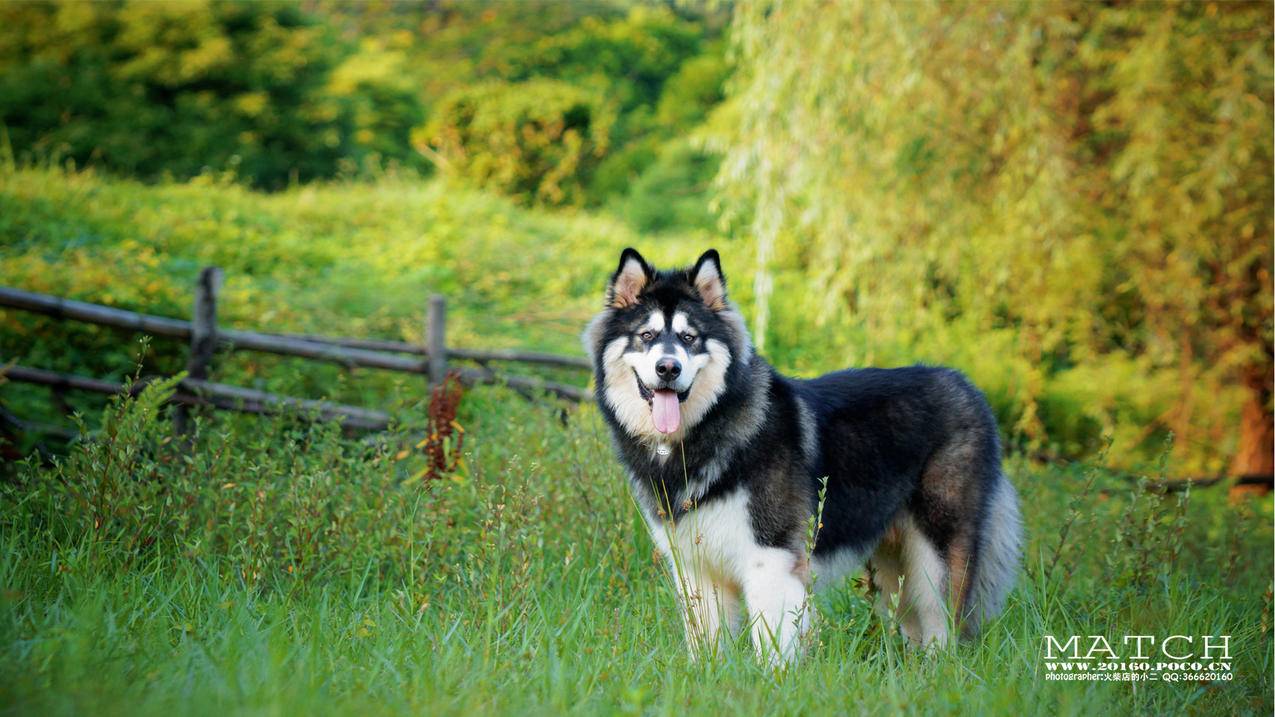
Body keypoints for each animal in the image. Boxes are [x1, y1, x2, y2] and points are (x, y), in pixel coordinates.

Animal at [583, 248, 1020, 663]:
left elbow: (773, 644)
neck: (702, 432)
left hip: (937, 555)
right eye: (646, 335)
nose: (668, 368)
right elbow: (707, 644)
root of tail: (968, 388)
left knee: (944, 624)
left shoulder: (771, 557)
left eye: (690, 338)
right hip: (893, 565)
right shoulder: (696, 568)